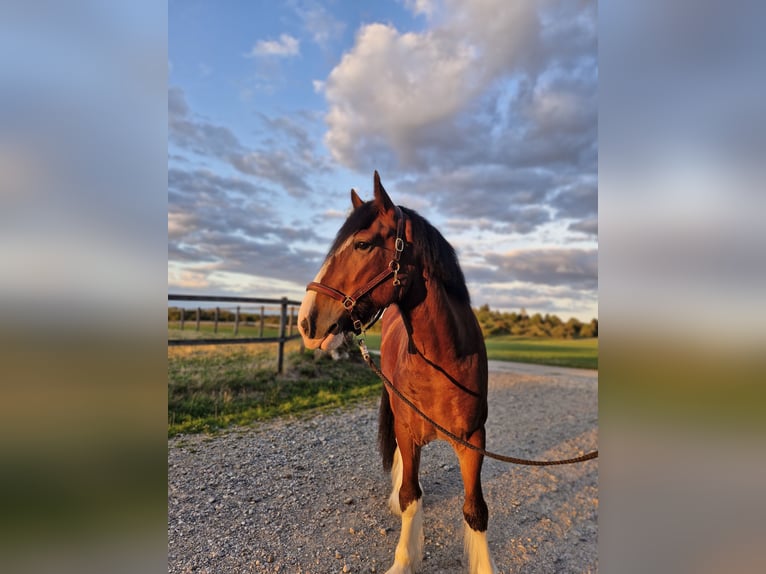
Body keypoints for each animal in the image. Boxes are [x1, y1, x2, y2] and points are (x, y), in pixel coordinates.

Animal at [298, 171, 495, 573]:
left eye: (362, 244)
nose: (306, 321)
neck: (443, 360)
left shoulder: (474, 441)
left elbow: (475, 510)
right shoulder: (406, 428)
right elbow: (409, 495)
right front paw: (404, 560)